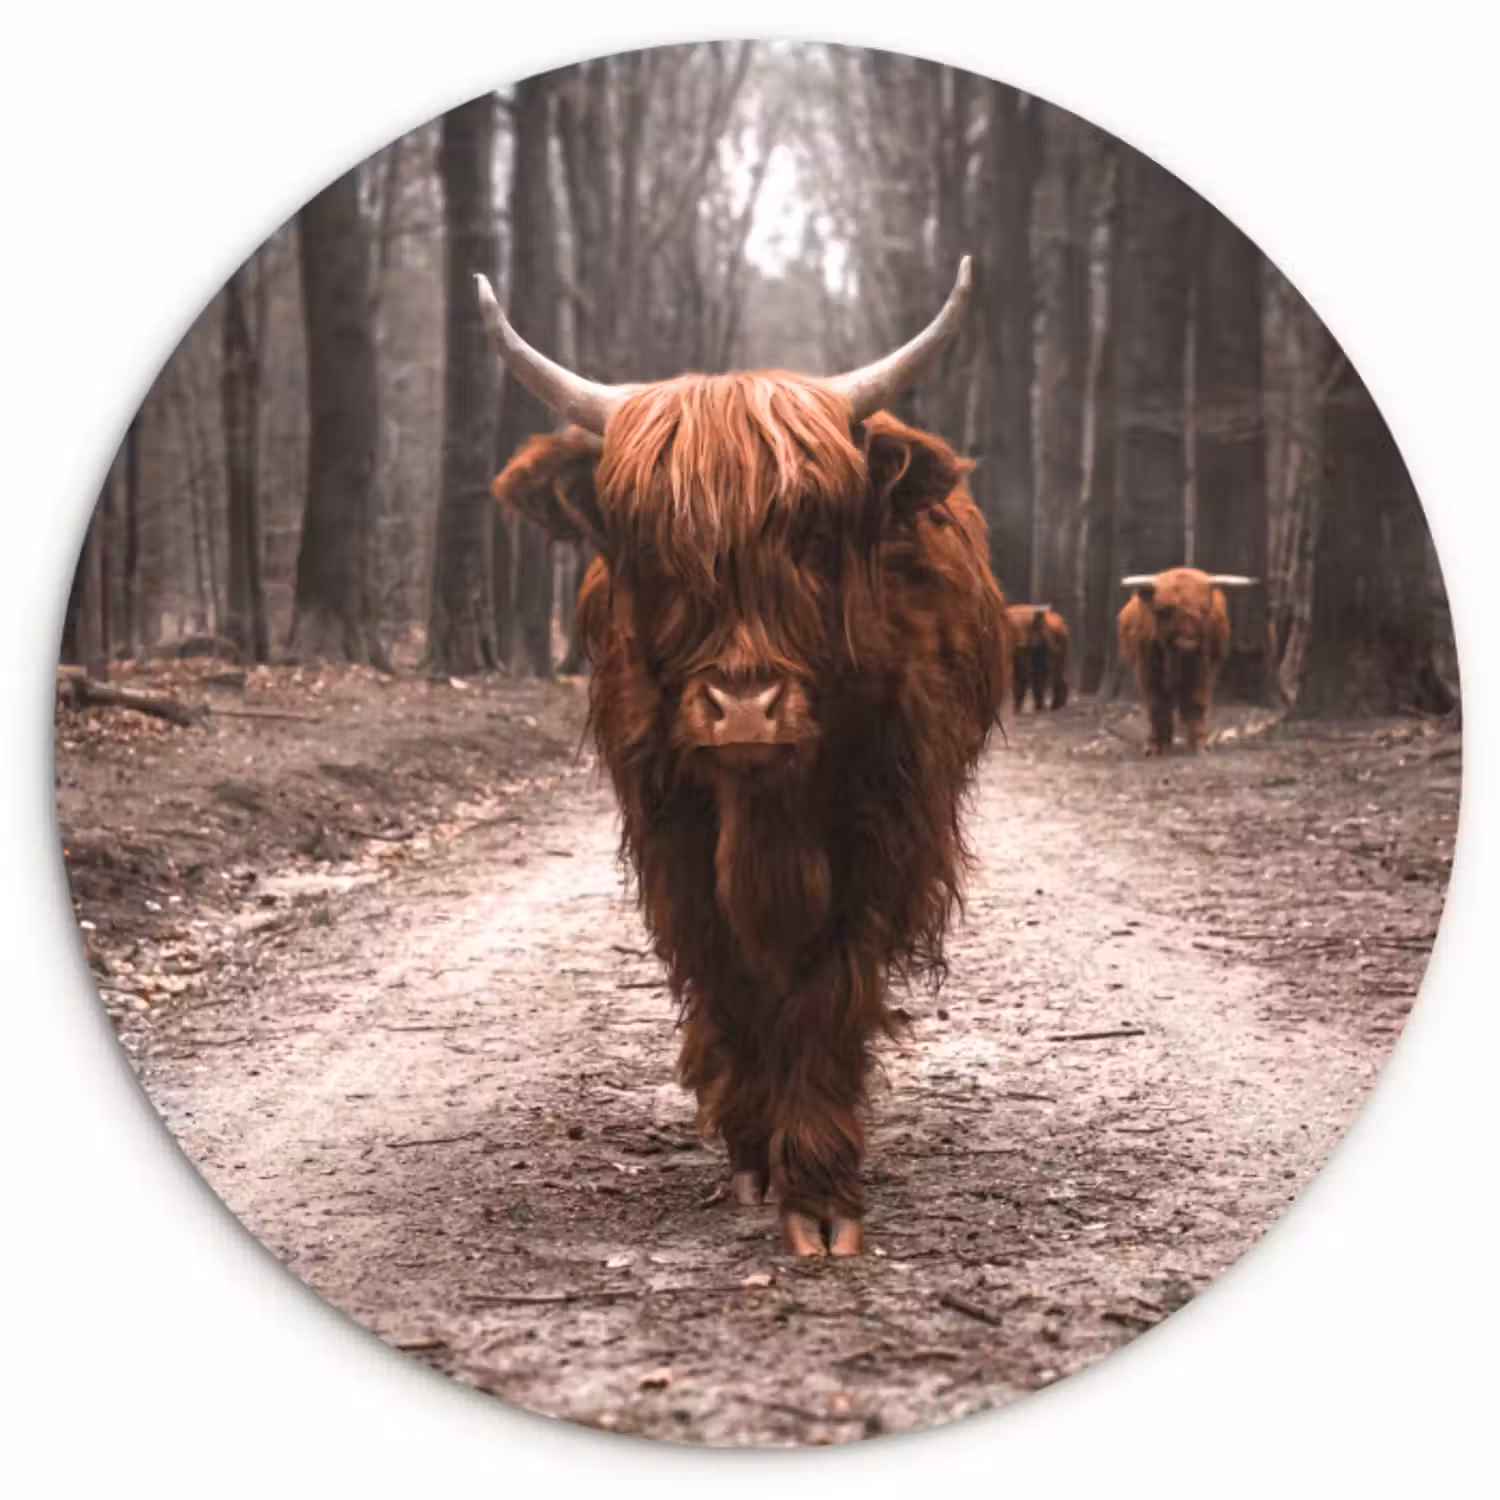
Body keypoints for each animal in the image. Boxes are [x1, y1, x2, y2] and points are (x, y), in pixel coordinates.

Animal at [479, 259, 1011, 1256]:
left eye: (811, 536)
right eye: (653, 547)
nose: (744, 710)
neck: (766, 815)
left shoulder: (882, 833)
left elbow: (828, 988)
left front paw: (822, 1190)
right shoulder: (673, 840)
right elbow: (729, 976)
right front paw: (757, 1151)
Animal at [1116, 568, 1256, 754]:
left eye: (1203, 610)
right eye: (1164, 610)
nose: (1187, 642)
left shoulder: (1202, 669)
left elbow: (1195, 703)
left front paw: (1200, 744)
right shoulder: (1148, 670)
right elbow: (1157, 704)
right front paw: (1155, 746)